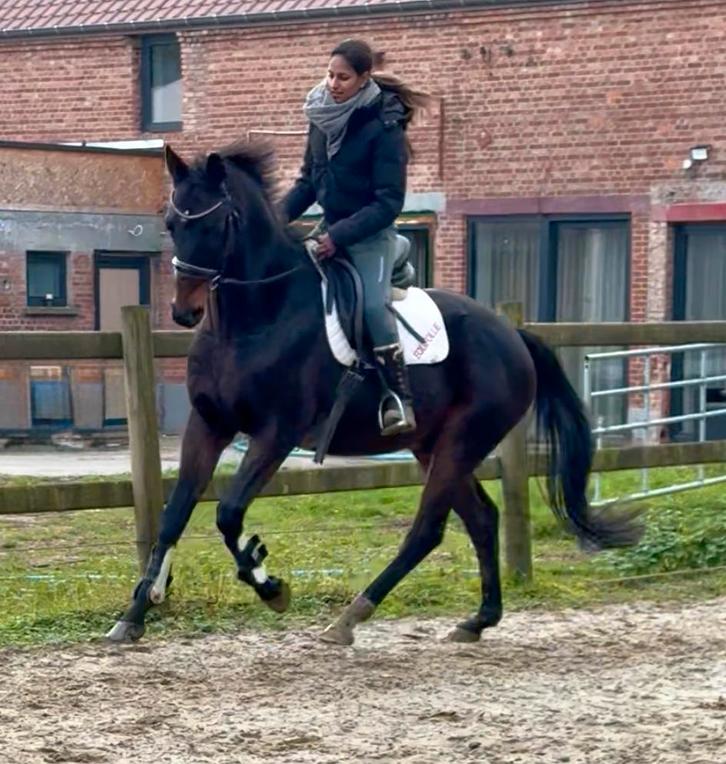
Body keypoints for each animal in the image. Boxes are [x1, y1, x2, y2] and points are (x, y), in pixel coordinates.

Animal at [106, 142, 642, 645]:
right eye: (172, 222)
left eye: (221, 223)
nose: (184, 311)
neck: (253, 321)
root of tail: (512, 333)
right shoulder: (209, 425)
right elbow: (174, 515)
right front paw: (136, 612)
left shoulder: (277, 433)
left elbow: (228, 513)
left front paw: (270, 584)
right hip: (434, 447)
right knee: (482, 519)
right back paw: (479, 619)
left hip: (461, 442)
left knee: (427, 530)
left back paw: (351, 617)